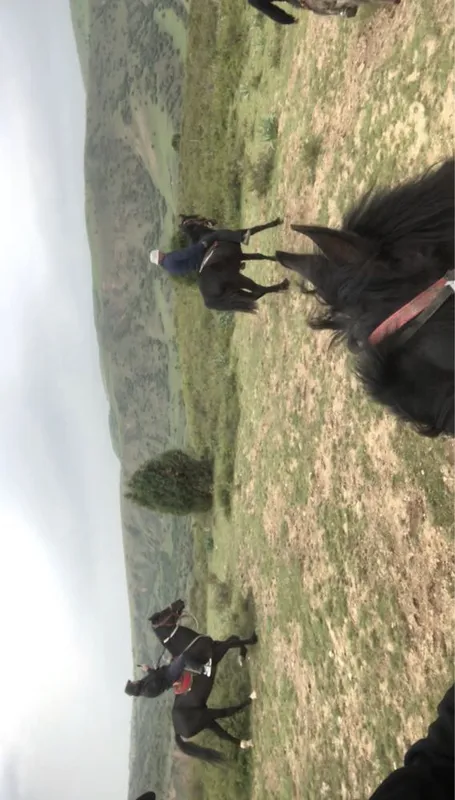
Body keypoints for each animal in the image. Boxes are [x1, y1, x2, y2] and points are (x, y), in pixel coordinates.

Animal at [148, 598, 258, 763]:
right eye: (163, 613)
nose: (180, 601)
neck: (188, 645)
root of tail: (177, 729)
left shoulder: (217, 645)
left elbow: (234, 638)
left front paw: (242, 656)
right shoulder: (217, 652)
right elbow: (233, 642)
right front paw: (252, 641)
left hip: (208, 722)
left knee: (224, 735)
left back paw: (245, 743)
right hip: (207, 717)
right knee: (227, 712)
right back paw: (251, 698)